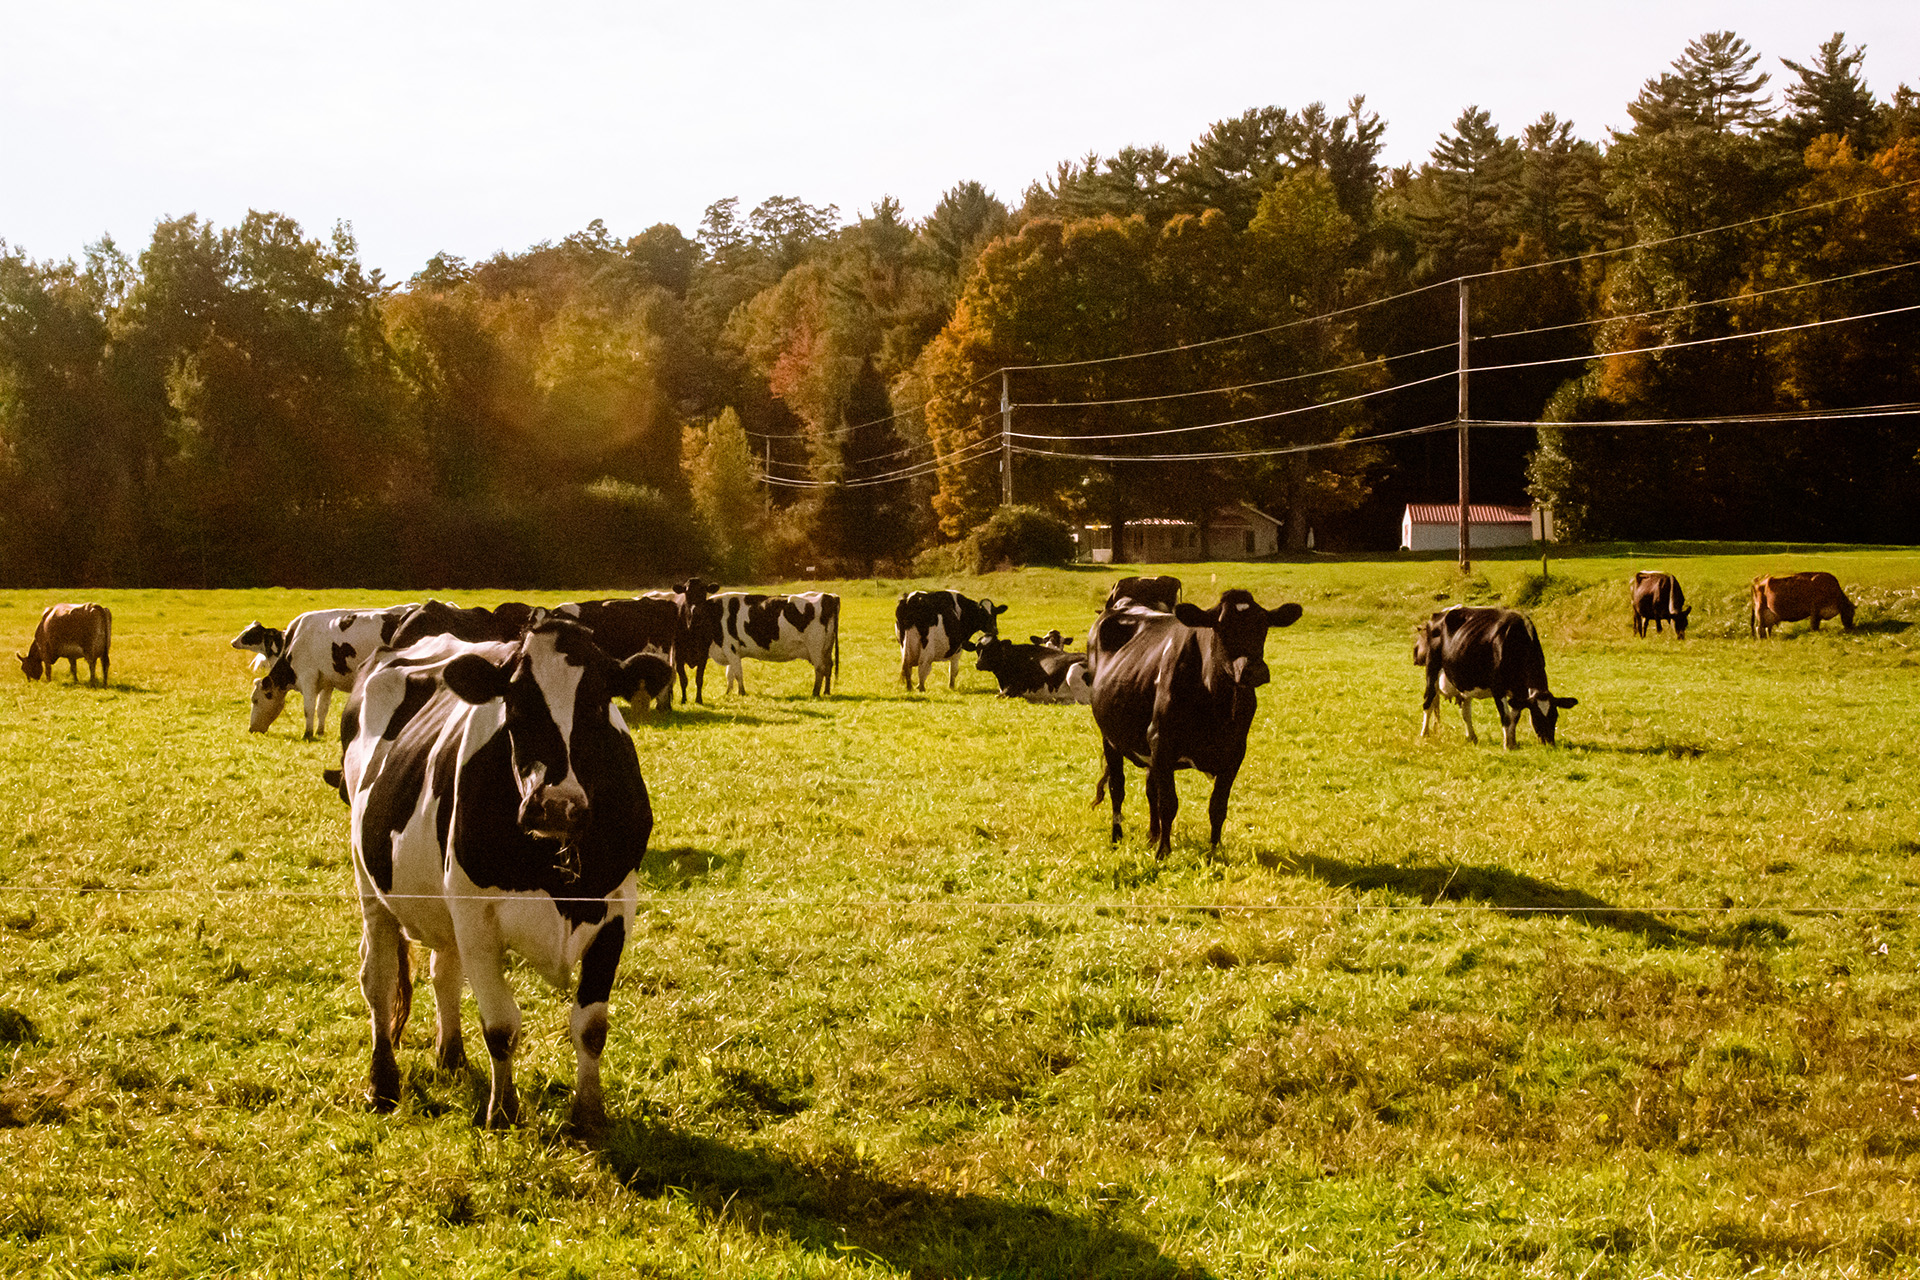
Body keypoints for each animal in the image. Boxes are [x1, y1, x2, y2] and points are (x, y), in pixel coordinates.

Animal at [249, 610, 414, 740]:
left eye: (255, 700)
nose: (251, 730)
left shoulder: (308, 676)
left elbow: (308, 708)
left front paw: (307, 734)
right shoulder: (327, 681)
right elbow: (322, 708)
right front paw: (319, 732)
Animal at [706, 594, 840, 694]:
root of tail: (830, 596)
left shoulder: (731, 648)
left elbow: (737, 673)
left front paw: (741, 693)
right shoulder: (730, 651)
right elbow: (730, 674)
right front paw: (728, 693)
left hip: (815, 647)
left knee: (820, 668)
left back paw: (815, 693)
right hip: (826, 648)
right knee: (829, 665)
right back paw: (826, 691)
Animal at [1098, 591, 1305, 859]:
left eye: (1263, 625)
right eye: (1221, 626)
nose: (1255, 670)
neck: (1215, 703)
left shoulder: (1235, 752)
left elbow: (1217, 807)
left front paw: (1214, 850)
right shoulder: (1161, 742)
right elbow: (1169, 804)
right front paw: (1163, 852)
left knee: (1149, 789)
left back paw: (1152, 836)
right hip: (1109, 737)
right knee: (1117, 788)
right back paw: (1117, 837)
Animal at [1413, 610, 1574, 752]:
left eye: (1555, 716)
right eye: (1536, 717)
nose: (1549, 743)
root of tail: (1437, 616)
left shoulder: (1520, 693)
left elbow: (1514, 717)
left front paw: (1512, 741)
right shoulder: (1498, 688)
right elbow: (1506, 717)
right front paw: (1507, 745)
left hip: (1464, 682)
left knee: (1465, 712)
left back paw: (1472, 737)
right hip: (1432, 670)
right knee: (1428, 702)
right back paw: (1424, 733)